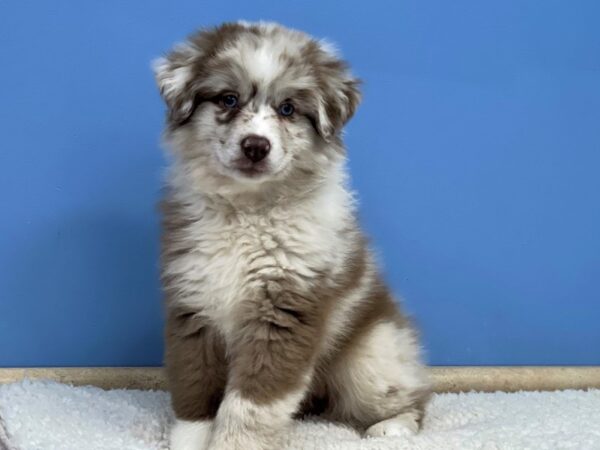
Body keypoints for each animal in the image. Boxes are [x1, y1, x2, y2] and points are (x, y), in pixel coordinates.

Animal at [152, 21, 428, 450]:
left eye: (287, 109)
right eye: (229, 99)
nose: (255, 146)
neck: (248, 212)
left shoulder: (285, 313)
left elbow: (248, 407)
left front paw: (231, 444)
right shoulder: (193, 308)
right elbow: (195, 392)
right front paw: (191, 442)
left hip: (371, 357)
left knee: (410, 398)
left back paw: (391, 428)